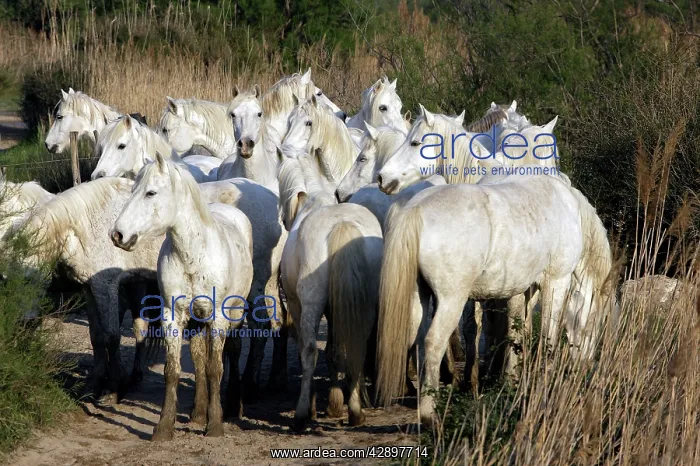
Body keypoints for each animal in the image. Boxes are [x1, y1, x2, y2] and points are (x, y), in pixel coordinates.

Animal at [110, 153, 255, 441]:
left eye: (151, 193)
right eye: (133, 191)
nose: (118, 235)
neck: (193, 256)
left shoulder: (218, 319)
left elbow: (215, 368)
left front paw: (215, 425)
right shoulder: (172, 317)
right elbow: (173, 370)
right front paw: (164, 426)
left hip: (235, 315)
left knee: (232, 352)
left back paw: (232, 406)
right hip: (197, 322)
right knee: (198, 358)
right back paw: (198, 412)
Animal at [277, 145, 383, 431]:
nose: (284, 219)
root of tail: (341, 225)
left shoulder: (296, 305)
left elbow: (308, 350)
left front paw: (315, 405)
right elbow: (335, 351)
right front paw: (335, 402)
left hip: (311, 305)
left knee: (310, 351)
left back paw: (302, 415)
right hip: (366, 304)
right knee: (358, 345)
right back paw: (356, 412)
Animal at [375, 170, 614, 426]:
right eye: (597, 322)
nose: (585, 367)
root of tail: (416, 209)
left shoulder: (522, 289)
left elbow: (517, 332)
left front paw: (513, 379)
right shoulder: (556, 282)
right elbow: (547, 335)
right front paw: (544, 380)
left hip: (417, 298)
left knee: (413, 340)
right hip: (451, 300)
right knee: (433, 342)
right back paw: (430, 414)